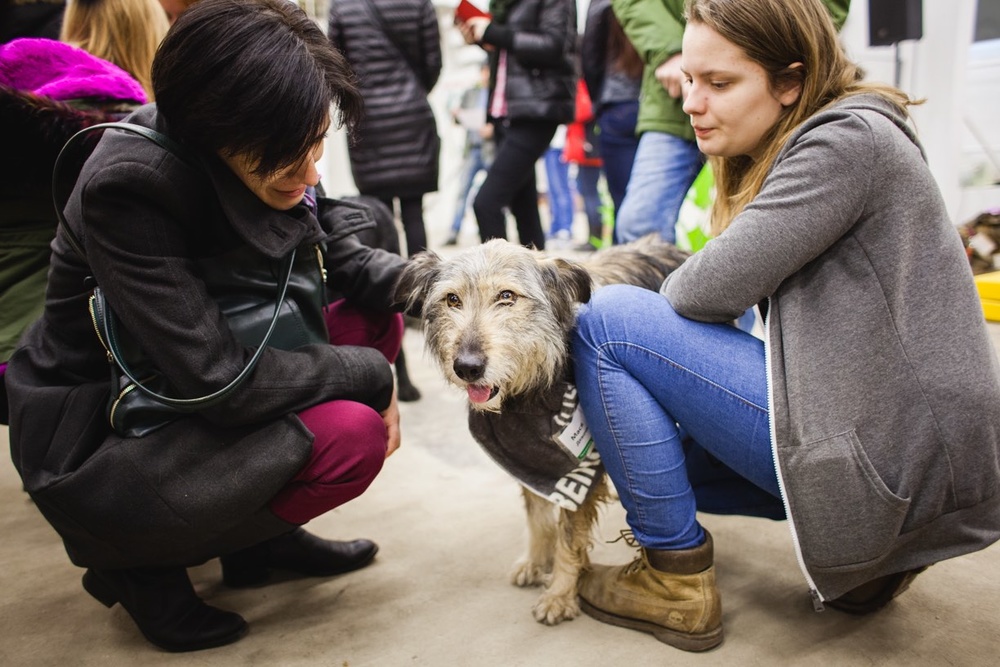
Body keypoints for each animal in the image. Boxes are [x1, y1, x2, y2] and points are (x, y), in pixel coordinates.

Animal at [394, 237, 692, 624]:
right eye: (452, 299)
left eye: (507, 296)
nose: (467, 367)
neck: (532, 390)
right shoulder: (524, 456)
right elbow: (537, 515)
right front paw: (536, 563)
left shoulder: (578, 469)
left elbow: (569, 535)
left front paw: (560, 594)